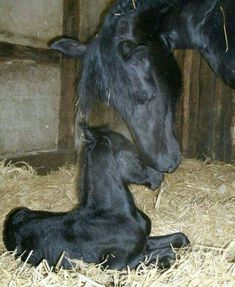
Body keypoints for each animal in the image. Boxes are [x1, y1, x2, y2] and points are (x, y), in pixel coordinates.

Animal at [3, 125, 189, 270]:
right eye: (132, 153)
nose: (159, 176)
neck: (112, 215)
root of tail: (14, 217)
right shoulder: (118, 264)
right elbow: (169, 254)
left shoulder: (145, 242)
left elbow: (181, 238)